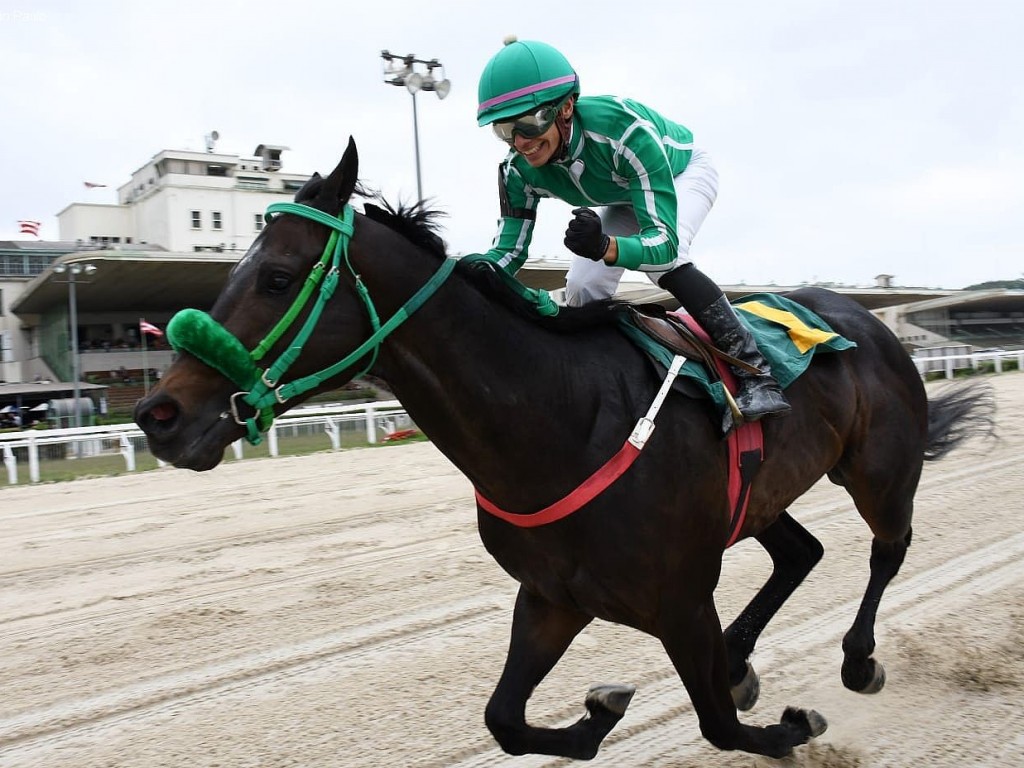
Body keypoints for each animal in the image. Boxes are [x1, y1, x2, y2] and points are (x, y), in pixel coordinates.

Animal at [134, 140, 991, 765]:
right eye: (235, 270)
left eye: (277, 278)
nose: (158, 414)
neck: (559, 419)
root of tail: (874, 318)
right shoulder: (554, 596)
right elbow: (504, 720)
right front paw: (599, 712)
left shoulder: (681, 598)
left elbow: (717, 724)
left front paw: (790, 724)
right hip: (756, 498)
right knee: (801, 551)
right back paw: (743, 659)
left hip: (878, 471)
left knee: (887, 549)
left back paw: (856, 658)